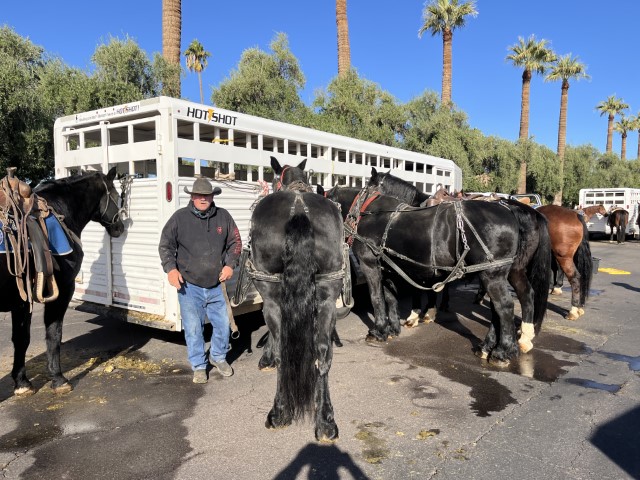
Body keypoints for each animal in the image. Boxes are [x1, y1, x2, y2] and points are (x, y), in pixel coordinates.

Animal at [0, 167, 125, 396]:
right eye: (116, 196)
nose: (119, 227)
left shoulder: (21, 300)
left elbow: (21, 339)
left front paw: (22, 382)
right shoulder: (63, 290)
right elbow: (54, 334)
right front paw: (58, 379)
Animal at [248, 158, 344, 442]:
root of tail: (299, 208)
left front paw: (266, 357)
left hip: (270, 291)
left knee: (283, 349)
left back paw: (279, 412)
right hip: (327, 288)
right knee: (322, 353)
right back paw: (325, 420)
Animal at [328, 178, 552, 366]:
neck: (372, 214)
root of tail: (512, 210)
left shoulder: (370, 264)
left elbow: (377, 298)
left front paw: (378, 331)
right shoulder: (388, 268)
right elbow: (390, 297)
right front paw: (392, 329)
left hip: (493, 273)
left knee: (504, 306)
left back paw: (503, 351)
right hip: (500, 273)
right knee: (509, 303)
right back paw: (491, 346)